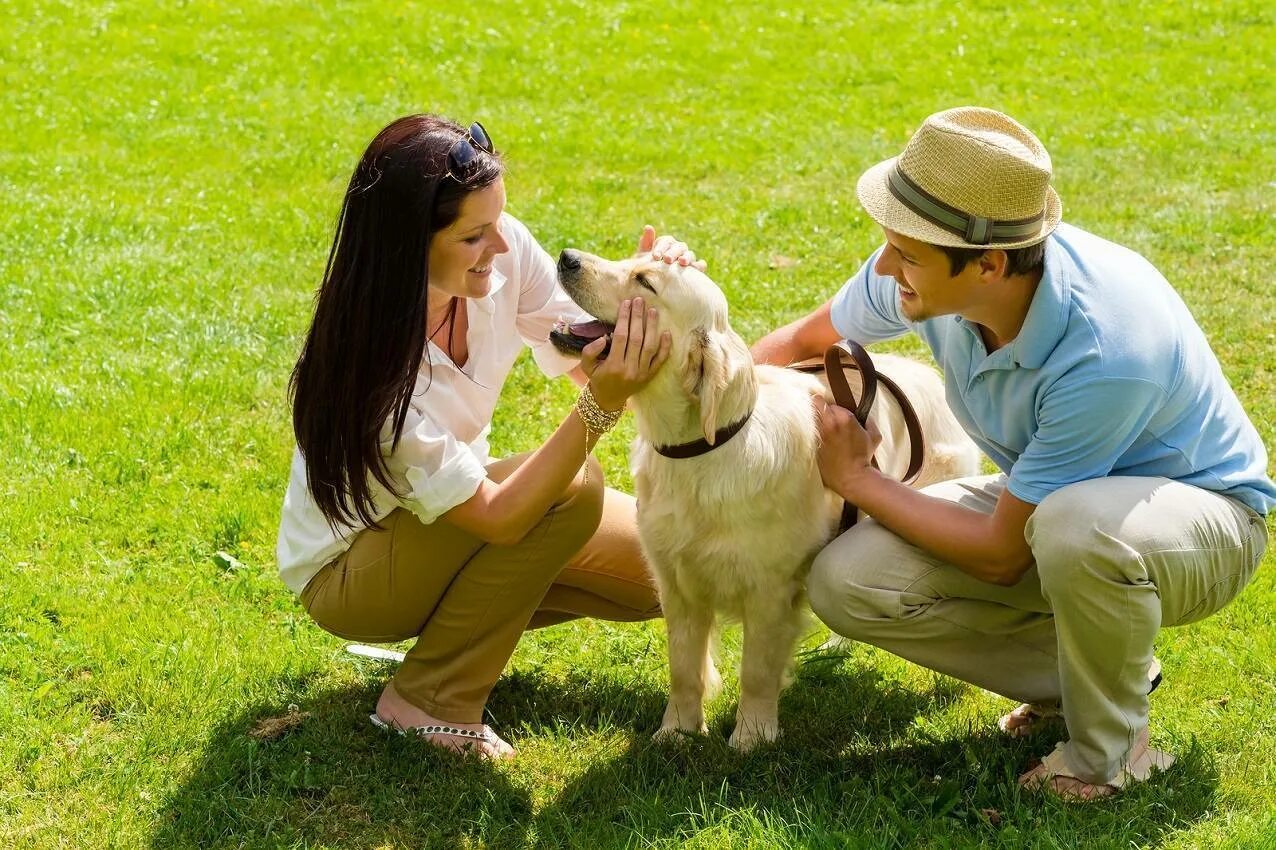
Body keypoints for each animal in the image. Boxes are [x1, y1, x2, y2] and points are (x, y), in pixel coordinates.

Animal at [548, 246, 974, 750]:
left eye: (645, 281)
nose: (567, 257)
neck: (704, 450)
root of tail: (926, 374)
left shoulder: (770, 590)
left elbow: (756, 670)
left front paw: (751, 736)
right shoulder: (676, 584)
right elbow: (683, 668)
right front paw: (677, 731)